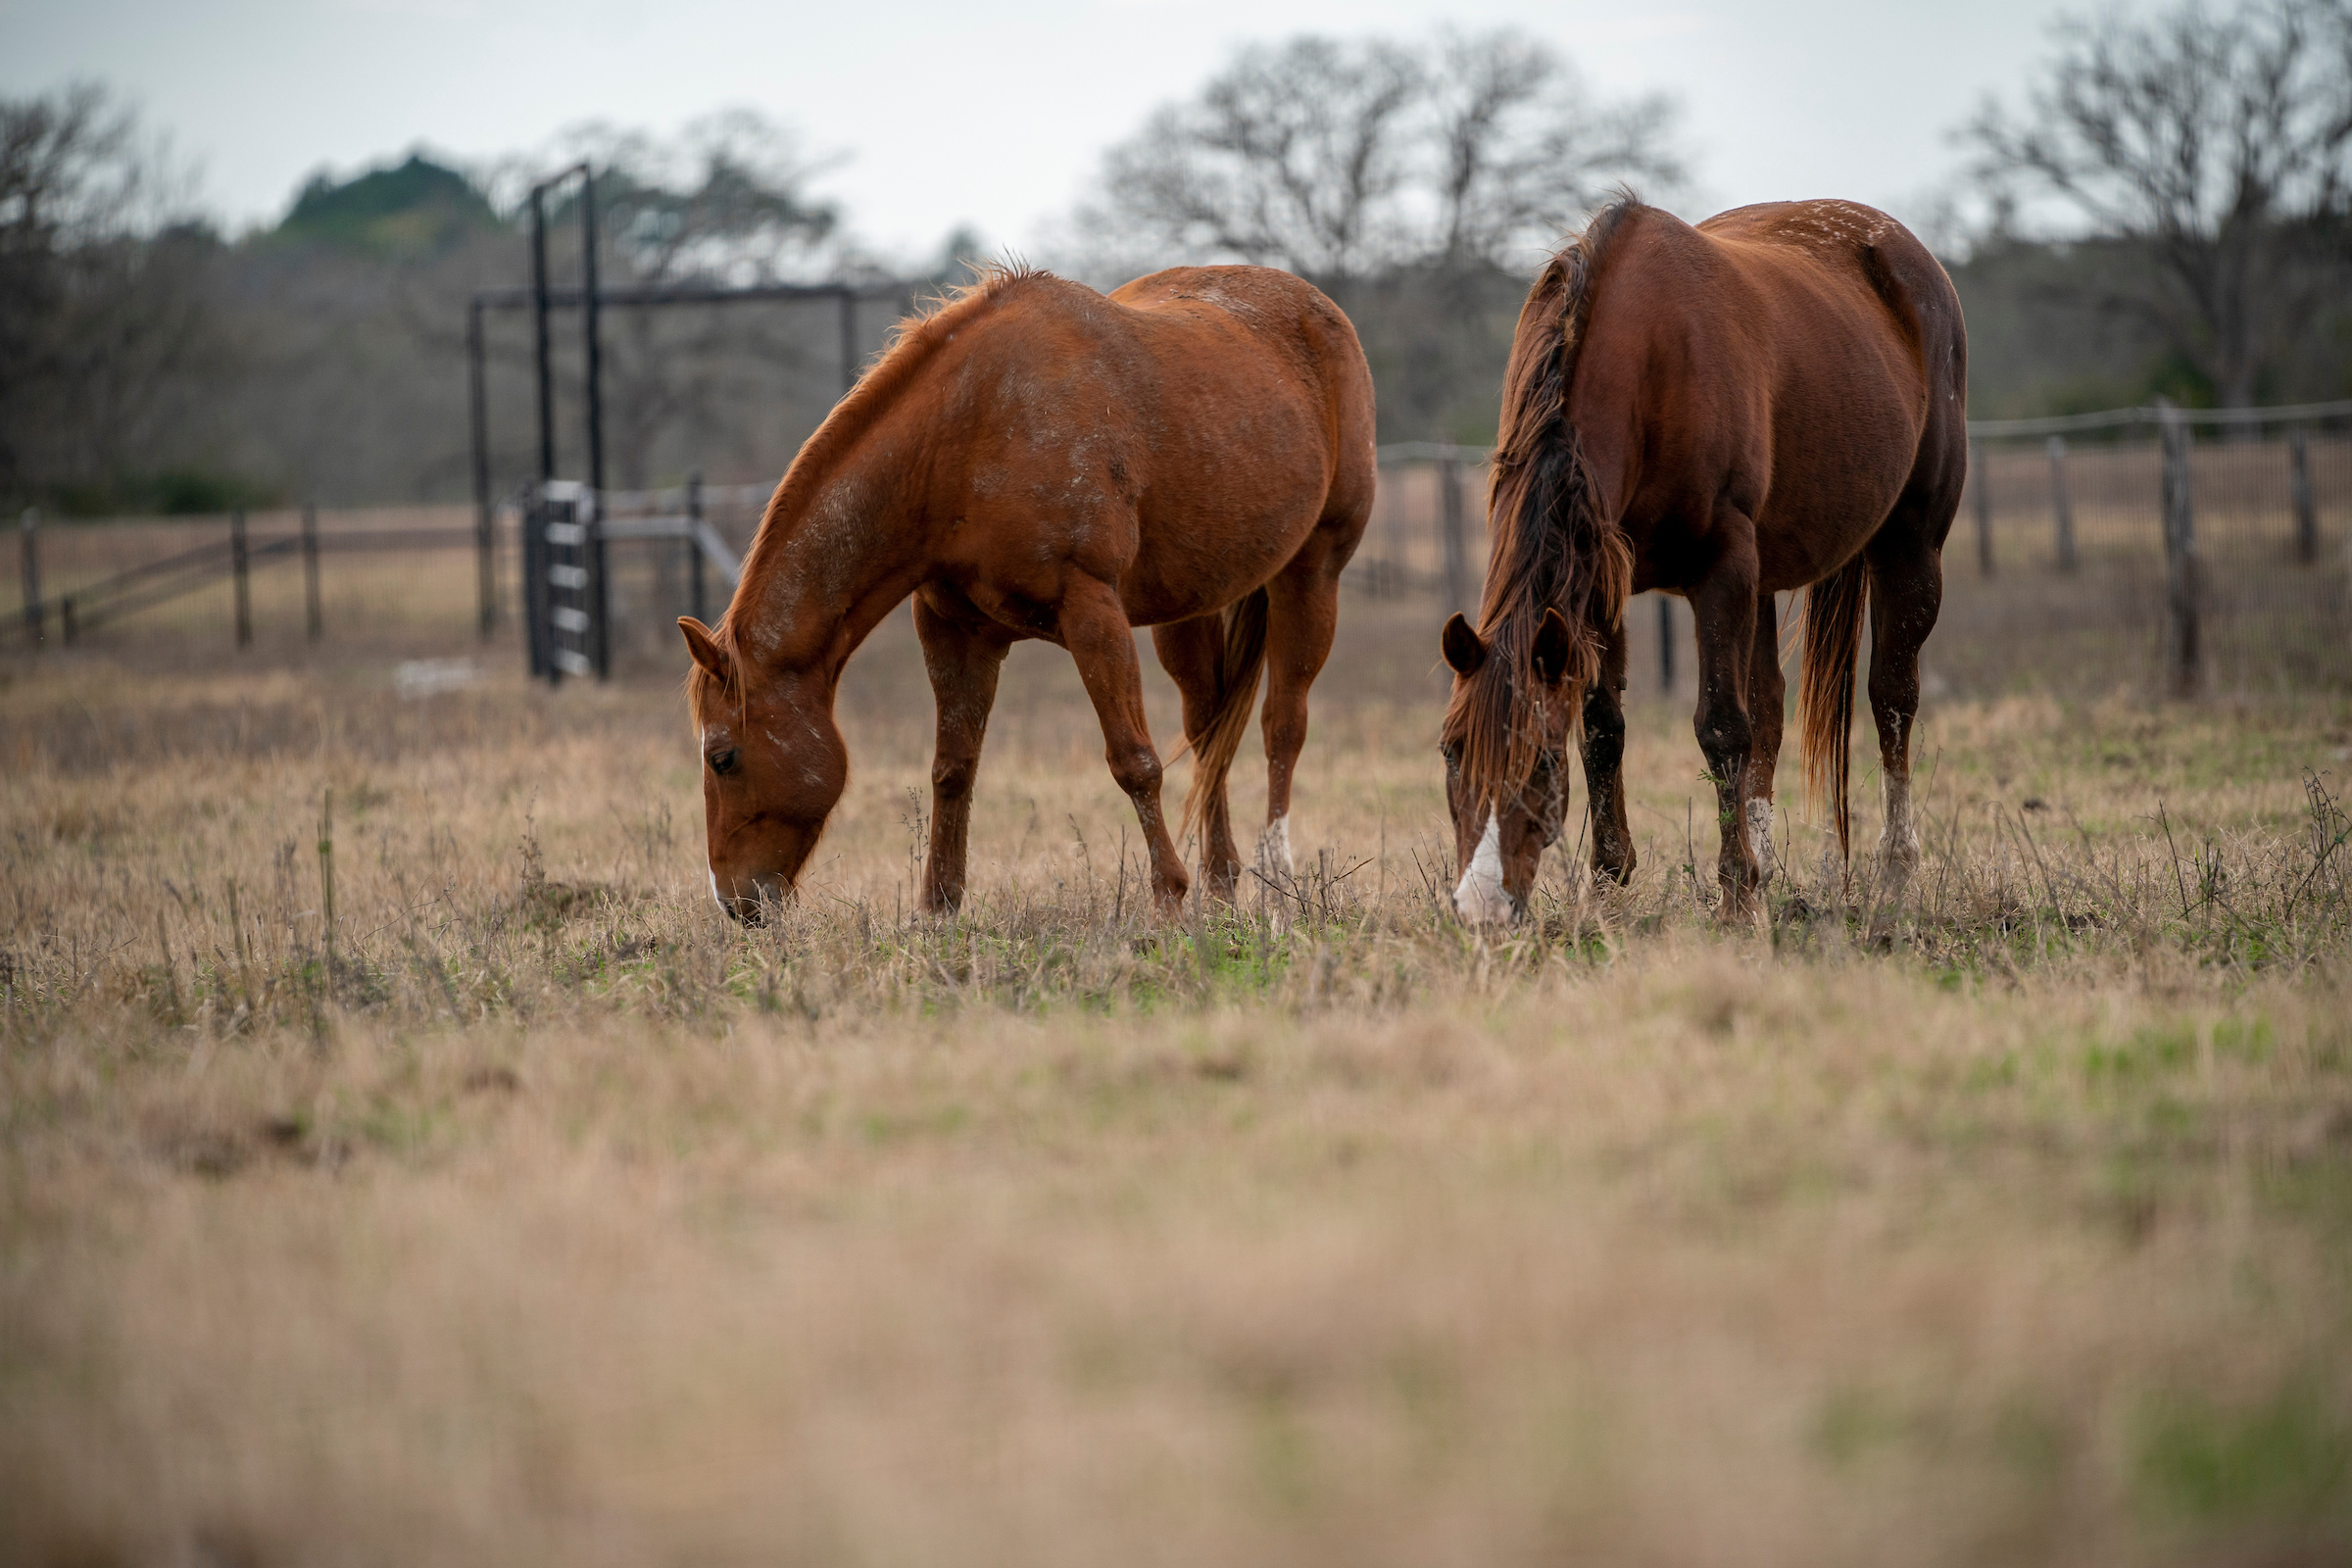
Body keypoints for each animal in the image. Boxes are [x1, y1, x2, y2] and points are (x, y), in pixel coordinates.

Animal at [677, 262, 1373, 911]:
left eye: (723, 758)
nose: (733, 900)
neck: (972, 430)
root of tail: (1317, 306)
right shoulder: (956, 630)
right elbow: (953, 768)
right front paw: (938, 909)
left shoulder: (1092, 611)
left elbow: (1135, 762)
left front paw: (1169, 900)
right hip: (1189, 608)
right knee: (1209, 732)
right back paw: (1224, 883)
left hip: (1313, 572)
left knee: (1282, 724)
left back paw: (1277, 874)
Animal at [1448, 201, 1966, 926]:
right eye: (1451, 752)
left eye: (1541, 766)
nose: (1482, 909)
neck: (1649, 364)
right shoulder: (1601, 582)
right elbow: (1604, 728)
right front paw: (1609, 888)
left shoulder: (1722, 572)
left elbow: (1721, 728)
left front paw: (1736, 900)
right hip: (1767, 577)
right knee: (1772, 711)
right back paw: (1767, 867)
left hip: (1911, 546)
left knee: (1892, 697)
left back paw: (1892, 875)